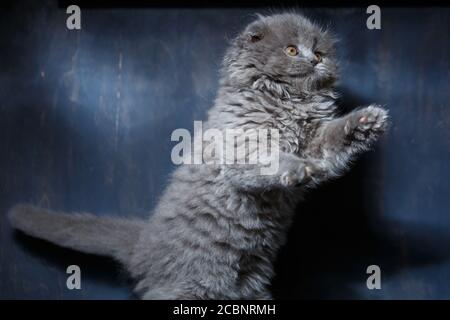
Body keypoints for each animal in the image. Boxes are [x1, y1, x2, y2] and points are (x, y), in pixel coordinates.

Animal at [7, 13, 386, 300]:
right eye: (292, 50)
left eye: (319, 51)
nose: (314, 59)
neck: (288, 101)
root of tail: (143, 244)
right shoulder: (242, 144)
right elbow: (270, 159)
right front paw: (296, 169)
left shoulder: (315, 141)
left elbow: (332, 140)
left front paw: (365, 121)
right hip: (186, 289)